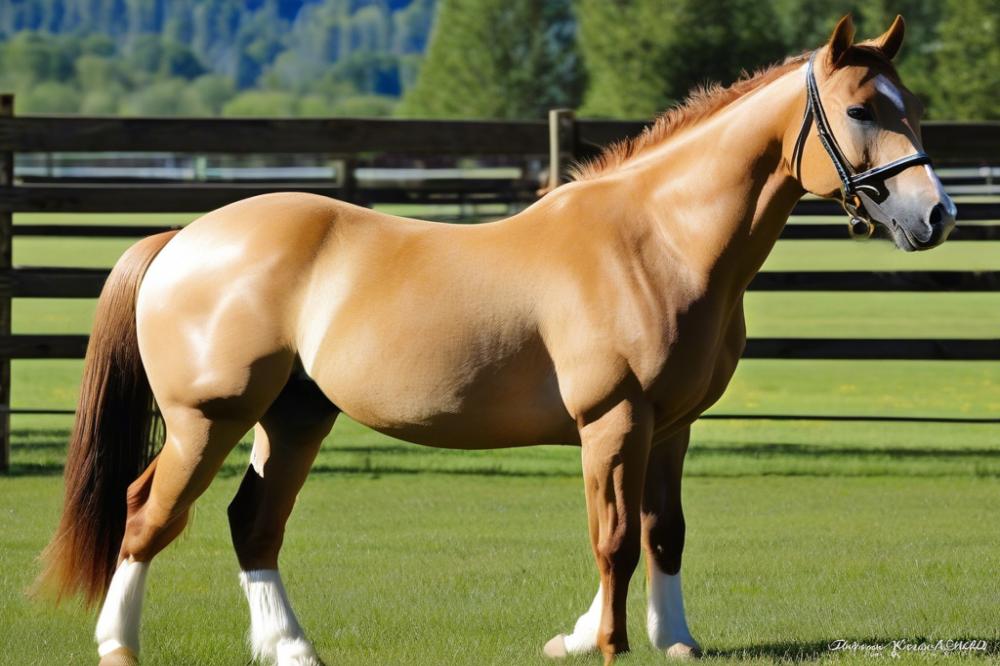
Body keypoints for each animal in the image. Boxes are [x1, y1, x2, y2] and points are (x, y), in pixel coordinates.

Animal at [38, 14, 955, 666]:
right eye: (861, 109)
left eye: (913, 107)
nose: (937, 216)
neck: (653, 239)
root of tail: (183, 239)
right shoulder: (614, 420)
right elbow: (614, 538)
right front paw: (606, 643)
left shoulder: (671, 426)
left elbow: (662, 530)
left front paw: (668, 640)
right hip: (211, 418)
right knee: (147, 513)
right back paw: (118, 646)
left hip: (294, 415)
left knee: (253, 522)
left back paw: (291, 649)